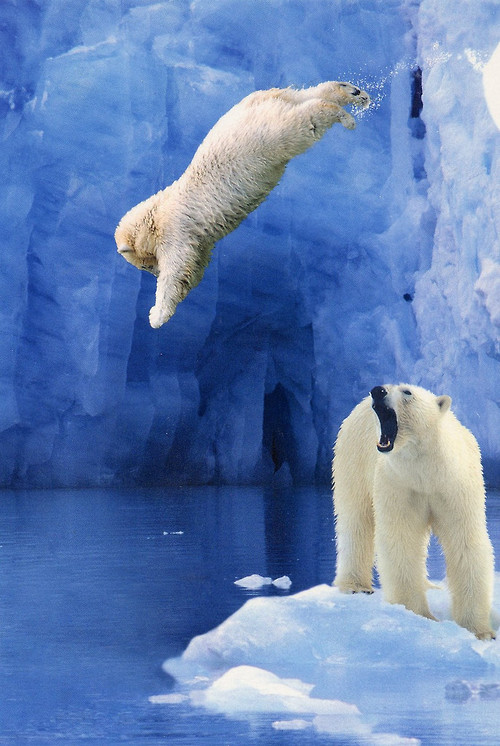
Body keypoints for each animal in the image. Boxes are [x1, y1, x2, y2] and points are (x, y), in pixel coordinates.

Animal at [115, 81, 370, 327]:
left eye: (144, 265)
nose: (154, 273)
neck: (156, 212)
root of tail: (257, 101)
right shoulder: (199, 239)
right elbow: (196, 264)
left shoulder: (175, 228)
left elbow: (178, 266)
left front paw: (156, 316)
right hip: (272, 105)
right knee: (308, 95)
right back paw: (353, 93)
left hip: (266, 137)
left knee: (307, 119)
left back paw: (346, 117)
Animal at [332, 383, 496, 640]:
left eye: (408, 392)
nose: (378, 390)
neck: (425, 471)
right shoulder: (398, 484)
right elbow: (402, 539)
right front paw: (418, 613)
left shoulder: (454, 485)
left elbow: (465, 542)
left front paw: (480, 631)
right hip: (352, 458)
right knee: (356, 518)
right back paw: (356, 586)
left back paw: (429, 585)